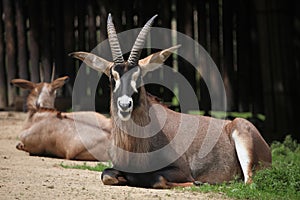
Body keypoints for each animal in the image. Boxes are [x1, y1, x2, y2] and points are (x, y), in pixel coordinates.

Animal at [70, 14, 272, 189]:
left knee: (248, 182)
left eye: (139, 77)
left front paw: (196, 182)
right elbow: (107, 175)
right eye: (113, 78)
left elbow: (156, 178)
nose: (125, 105)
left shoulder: (180, 170)